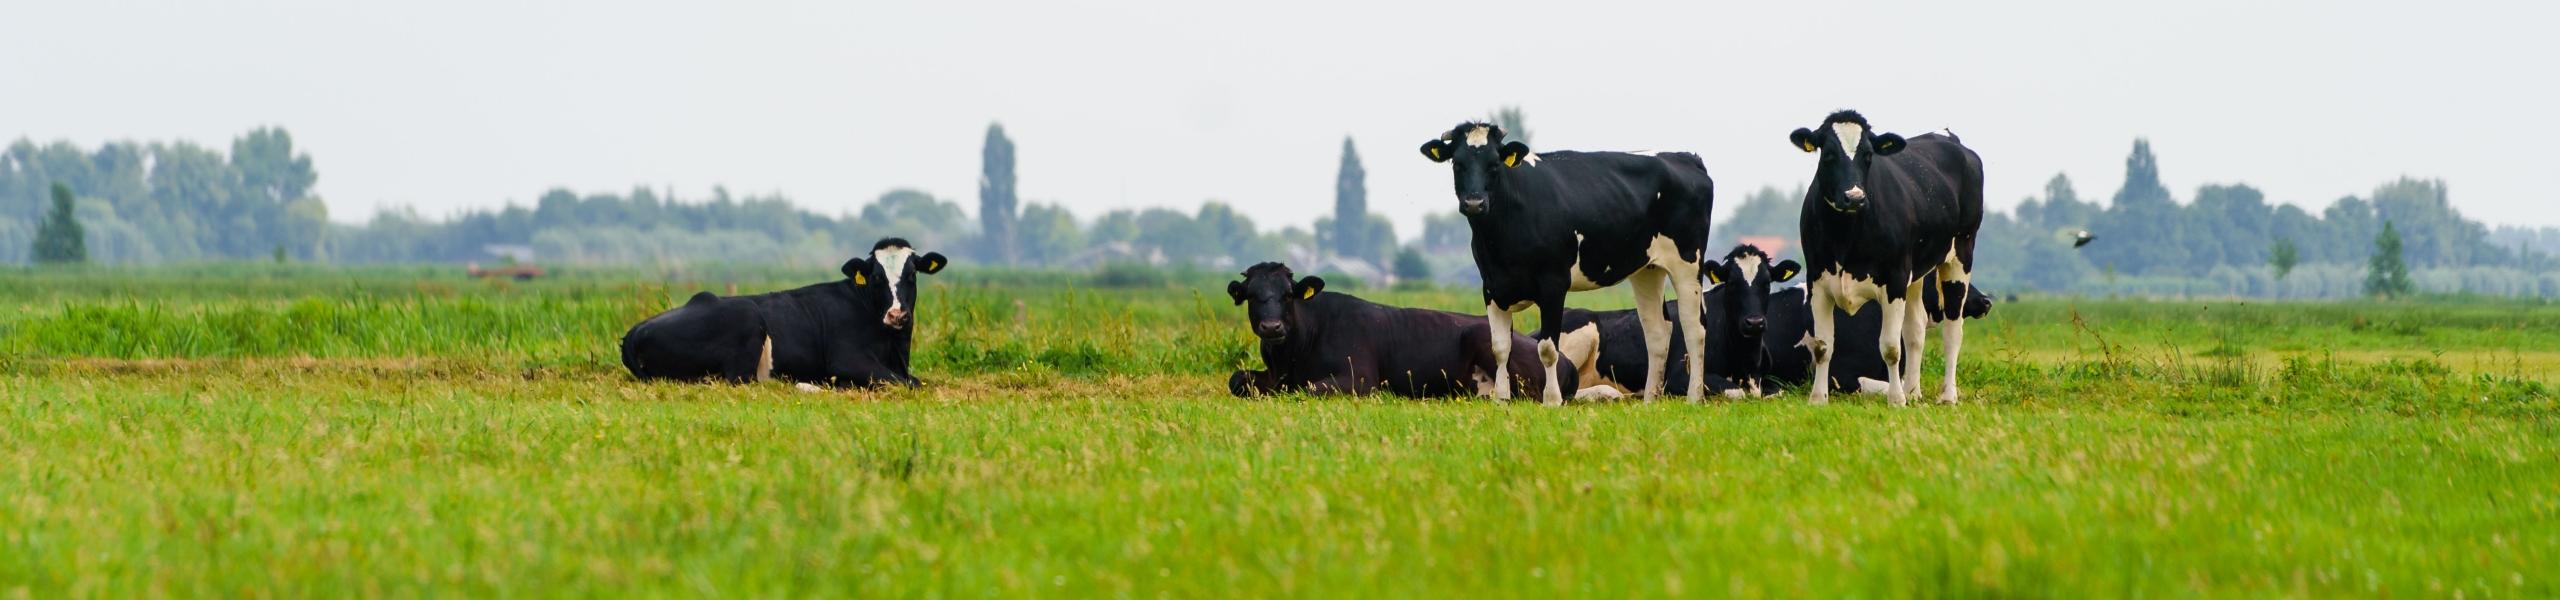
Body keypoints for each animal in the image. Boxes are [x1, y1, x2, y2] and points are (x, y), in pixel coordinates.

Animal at [620, 238, 948, 388]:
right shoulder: (847, 359)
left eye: (912, 275)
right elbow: (910, 383)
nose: (896, 315)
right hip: (747, 318)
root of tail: (634, 331)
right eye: (877, 277)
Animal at [1225, 262, 1570, 399]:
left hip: (1484, 337)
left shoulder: (1361, 377)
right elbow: (1237, 379)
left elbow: (1306, 388)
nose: (1272, 326)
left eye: (1287, 294)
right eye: (1252, 295)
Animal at [1419, 122, 1716, 405]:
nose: (1474, 203)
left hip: (1688, 263)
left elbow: (1548, 349)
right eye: (1457, 164)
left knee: (1694, 327)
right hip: (1646, 269)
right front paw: (1502, 399)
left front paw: (1552, 400)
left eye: (1494, 164)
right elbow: (1500, 347)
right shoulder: (1492, 288)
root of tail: (1685, 157)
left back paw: (1694, 398)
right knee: (1657, 330)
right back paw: (1650, 400)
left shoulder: (1553, 284)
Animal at [1556, 245, 1800, 399]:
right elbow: (1736, 392)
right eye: (1731, 283)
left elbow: (1776, 392)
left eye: (1767, 283)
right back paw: (1607, 394)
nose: (1754, 322)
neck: (1745, 361)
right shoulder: (1679, 376)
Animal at [1787, 110, 1985, 405]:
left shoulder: (1894, 280)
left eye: (1868, 155)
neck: (1846, 235)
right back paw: (1913, 392)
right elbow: (1823, 347)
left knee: (1953, 329)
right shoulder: (1817, 282)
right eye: (1829, 154)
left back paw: (1947, 396)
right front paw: (1818, 399)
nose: (1854, 197)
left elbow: (1891, 347)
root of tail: (1946, 136)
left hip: (1961, 254)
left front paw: (1896, 400)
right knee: (1915, 329)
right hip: (1916, 273)